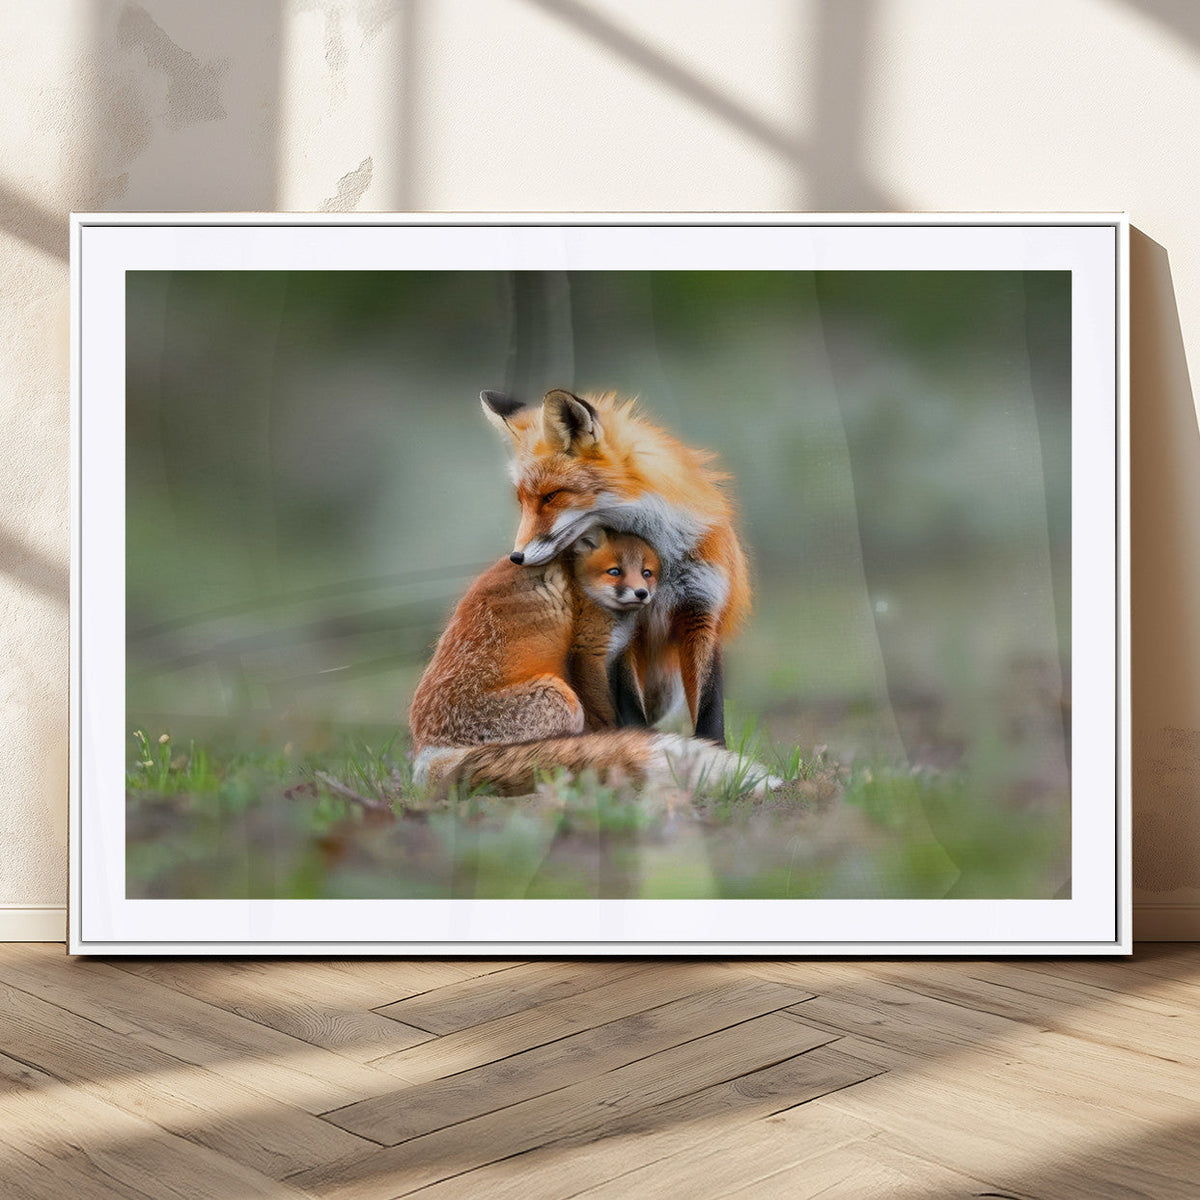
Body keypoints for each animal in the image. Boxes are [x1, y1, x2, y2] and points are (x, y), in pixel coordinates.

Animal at [481, 387, 751, 747]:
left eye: (551, 496)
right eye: (522, 501)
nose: (516, 557)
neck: (661, 561)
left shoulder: (701, 614)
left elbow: (709, 710)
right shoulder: (622, 628)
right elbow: (630, 708)